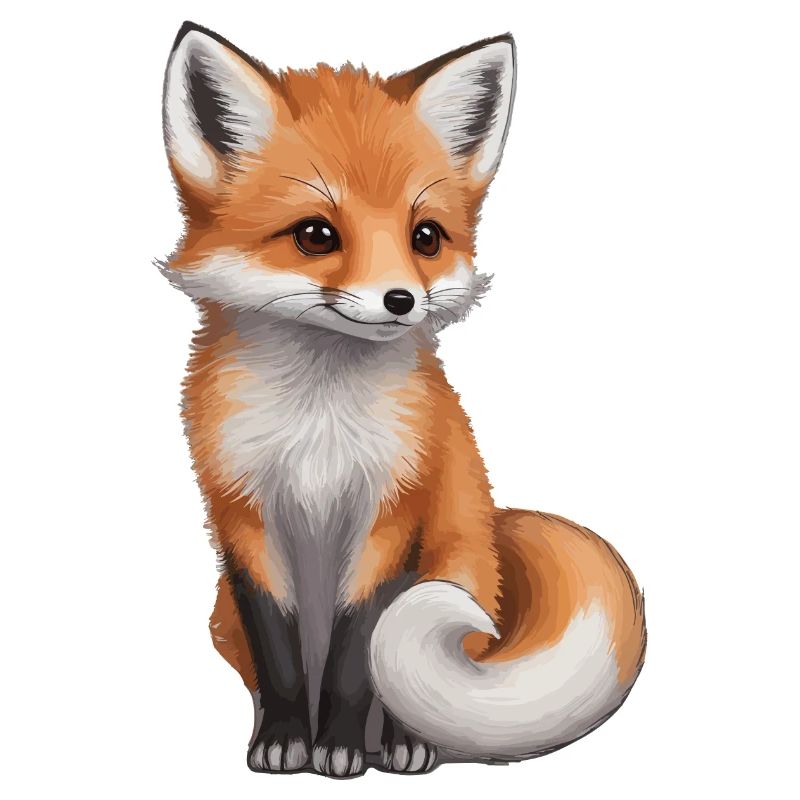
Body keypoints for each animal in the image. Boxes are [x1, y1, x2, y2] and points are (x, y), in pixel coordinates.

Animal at [159, 21, 646, 778]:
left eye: (426, 237)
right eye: (315, 234)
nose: (400, 300)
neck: (320, 424)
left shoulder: (393, 510)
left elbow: (360, 648)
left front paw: (338, 746)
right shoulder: (242, 514)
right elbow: (278, 646)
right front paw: (286, 740)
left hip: (453, 562)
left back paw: (400, 742)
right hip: (220, 616)